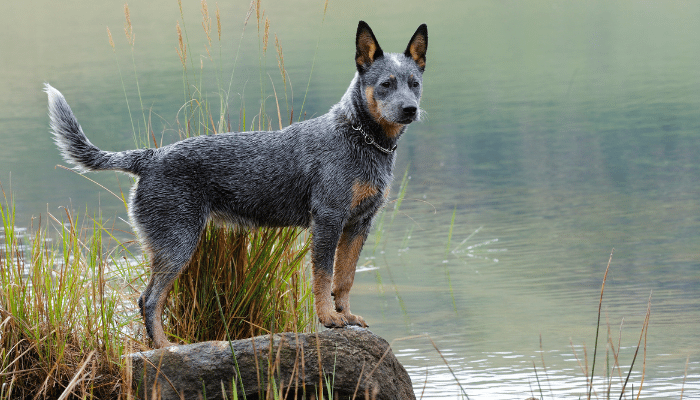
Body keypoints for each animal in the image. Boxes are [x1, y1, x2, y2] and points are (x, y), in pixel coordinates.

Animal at [46, 20, 426, 348]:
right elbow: (323, 277)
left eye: (414, 82)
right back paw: (165, 348)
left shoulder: (359, 224)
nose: (410, 109)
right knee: (149, 300)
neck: (360, 138)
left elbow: (344, 278)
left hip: (169, 247)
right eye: (386, 83)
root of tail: (150, 157)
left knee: (146, 299)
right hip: (178, 244)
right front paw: (329, 318)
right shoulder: (328, 221)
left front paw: (346, 316)